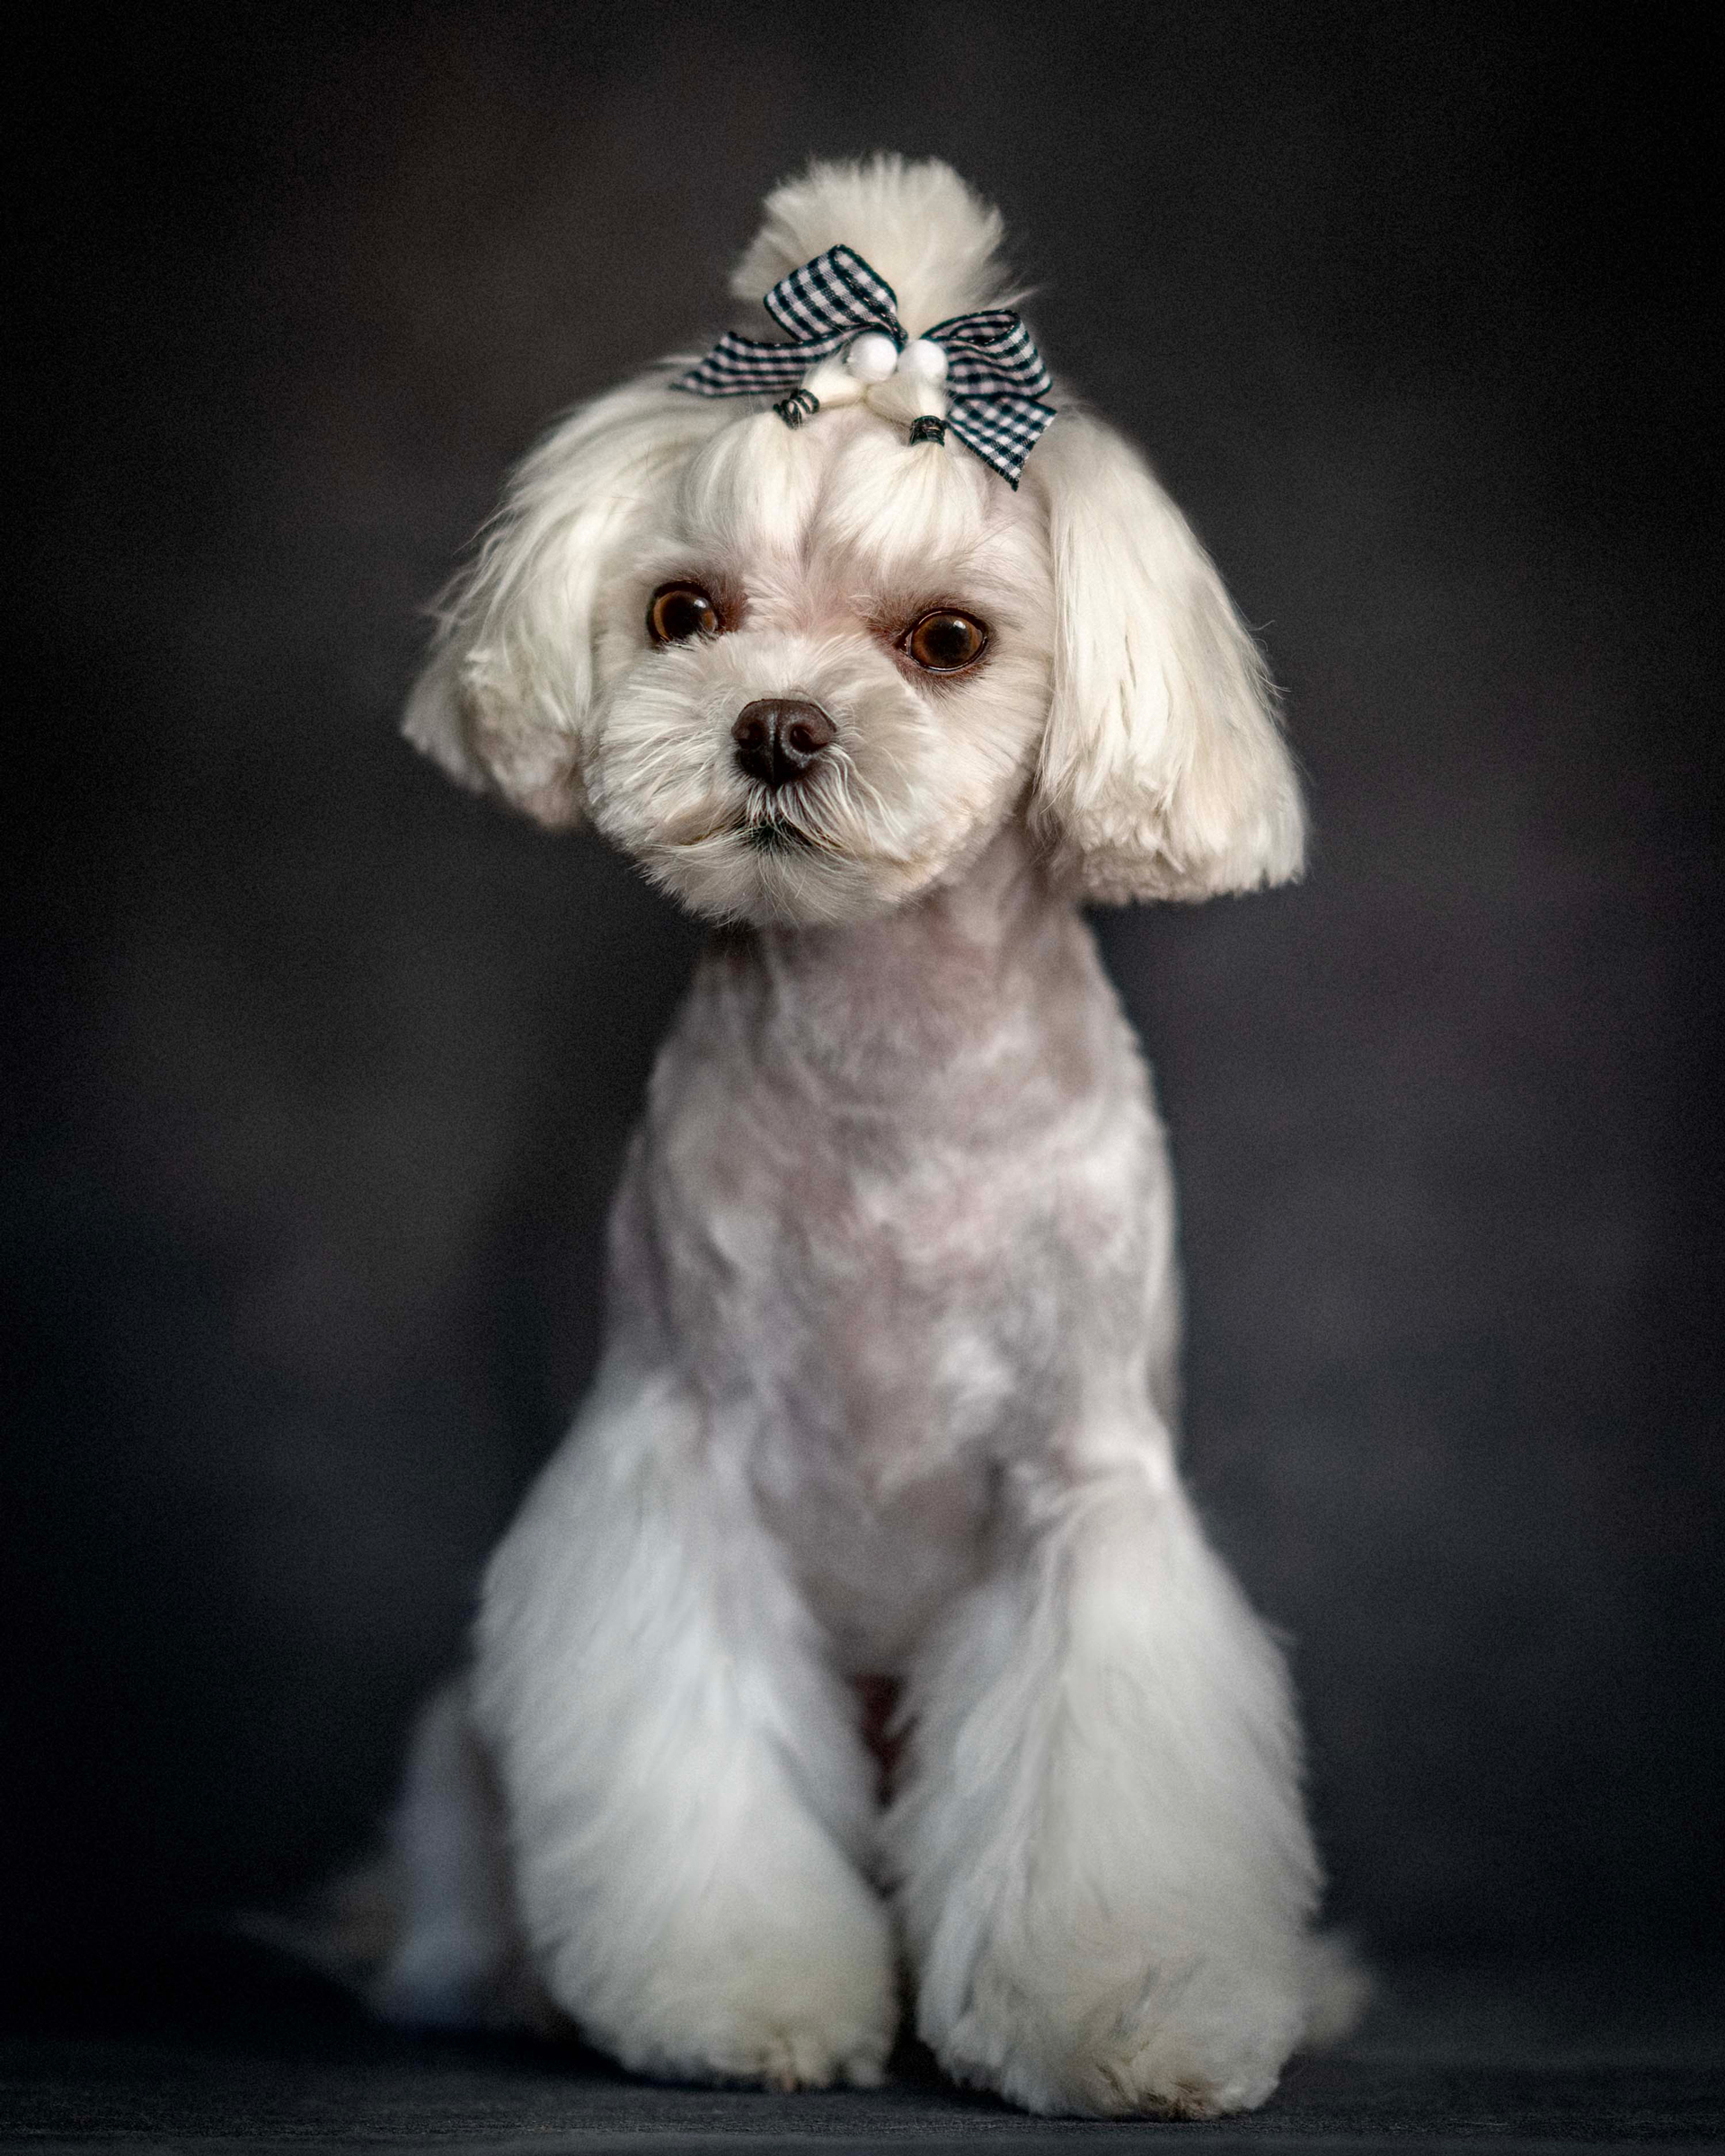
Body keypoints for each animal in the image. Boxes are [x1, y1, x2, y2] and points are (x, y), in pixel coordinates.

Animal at [367, 156, 1362, 2121]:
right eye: (684, 611)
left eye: (947, 641)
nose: (777, 727)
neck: (891, 1070)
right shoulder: (675, 1467)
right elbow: (698, 1766)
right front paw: (734, 2001)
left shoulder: (1086, 1501)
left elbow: (1098, 1794)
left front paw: (1129, 2017)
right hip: (464, 1746)